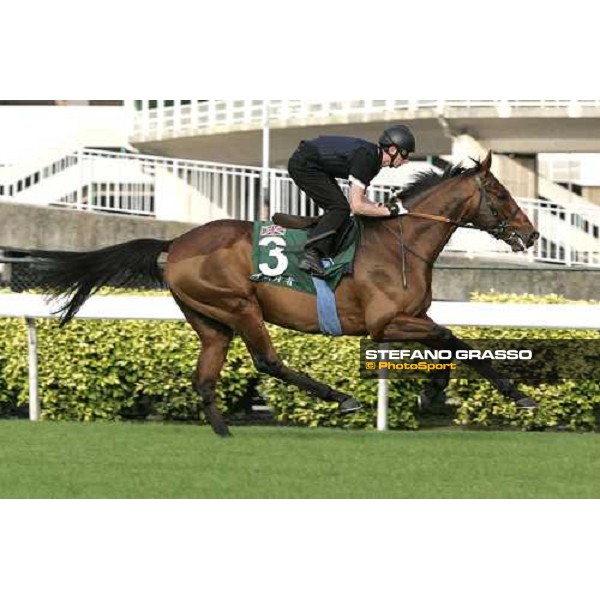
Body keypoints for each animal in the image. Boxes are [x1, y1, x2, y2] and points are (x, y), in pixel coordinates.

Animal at [35, 150, 540, 436]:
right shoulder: (385, 324)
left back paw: (224, 434)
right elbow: (453, 339)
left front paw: (438, 392)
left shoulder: (408, 320)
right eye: (499, 193)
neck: (401, 242)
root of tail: (174, 245)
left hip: (210, 321)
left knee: (205, 378)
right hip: (239, 305)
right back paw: (340, 398)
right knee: (268, 361)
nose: (531, 234)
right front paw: (506, 396)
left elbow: (449, 343)